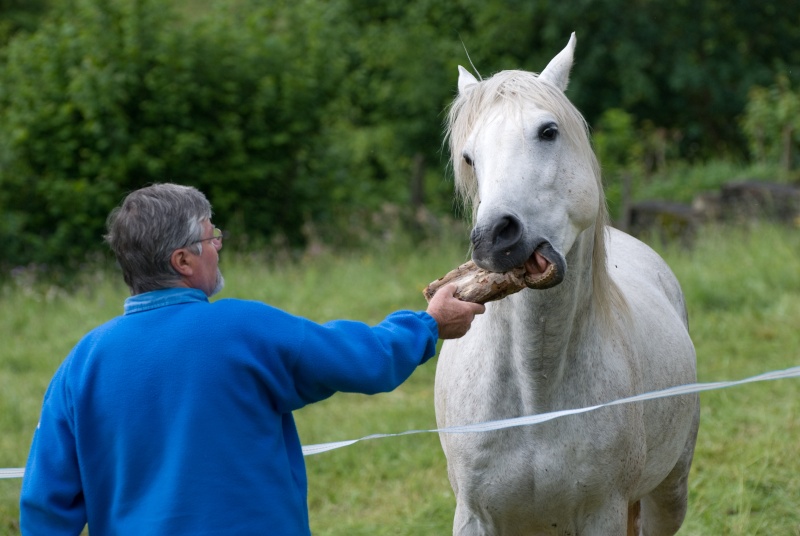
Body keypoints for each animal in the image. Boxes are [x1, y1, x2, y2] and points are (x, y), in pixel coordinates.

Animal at [434, 34, 696, 536]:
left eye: (548, 131)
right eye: (469, 156)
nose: (495, 237)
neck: (537, 393)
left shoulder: (603, 514)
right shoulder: (474, 516)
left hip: (668, 494)